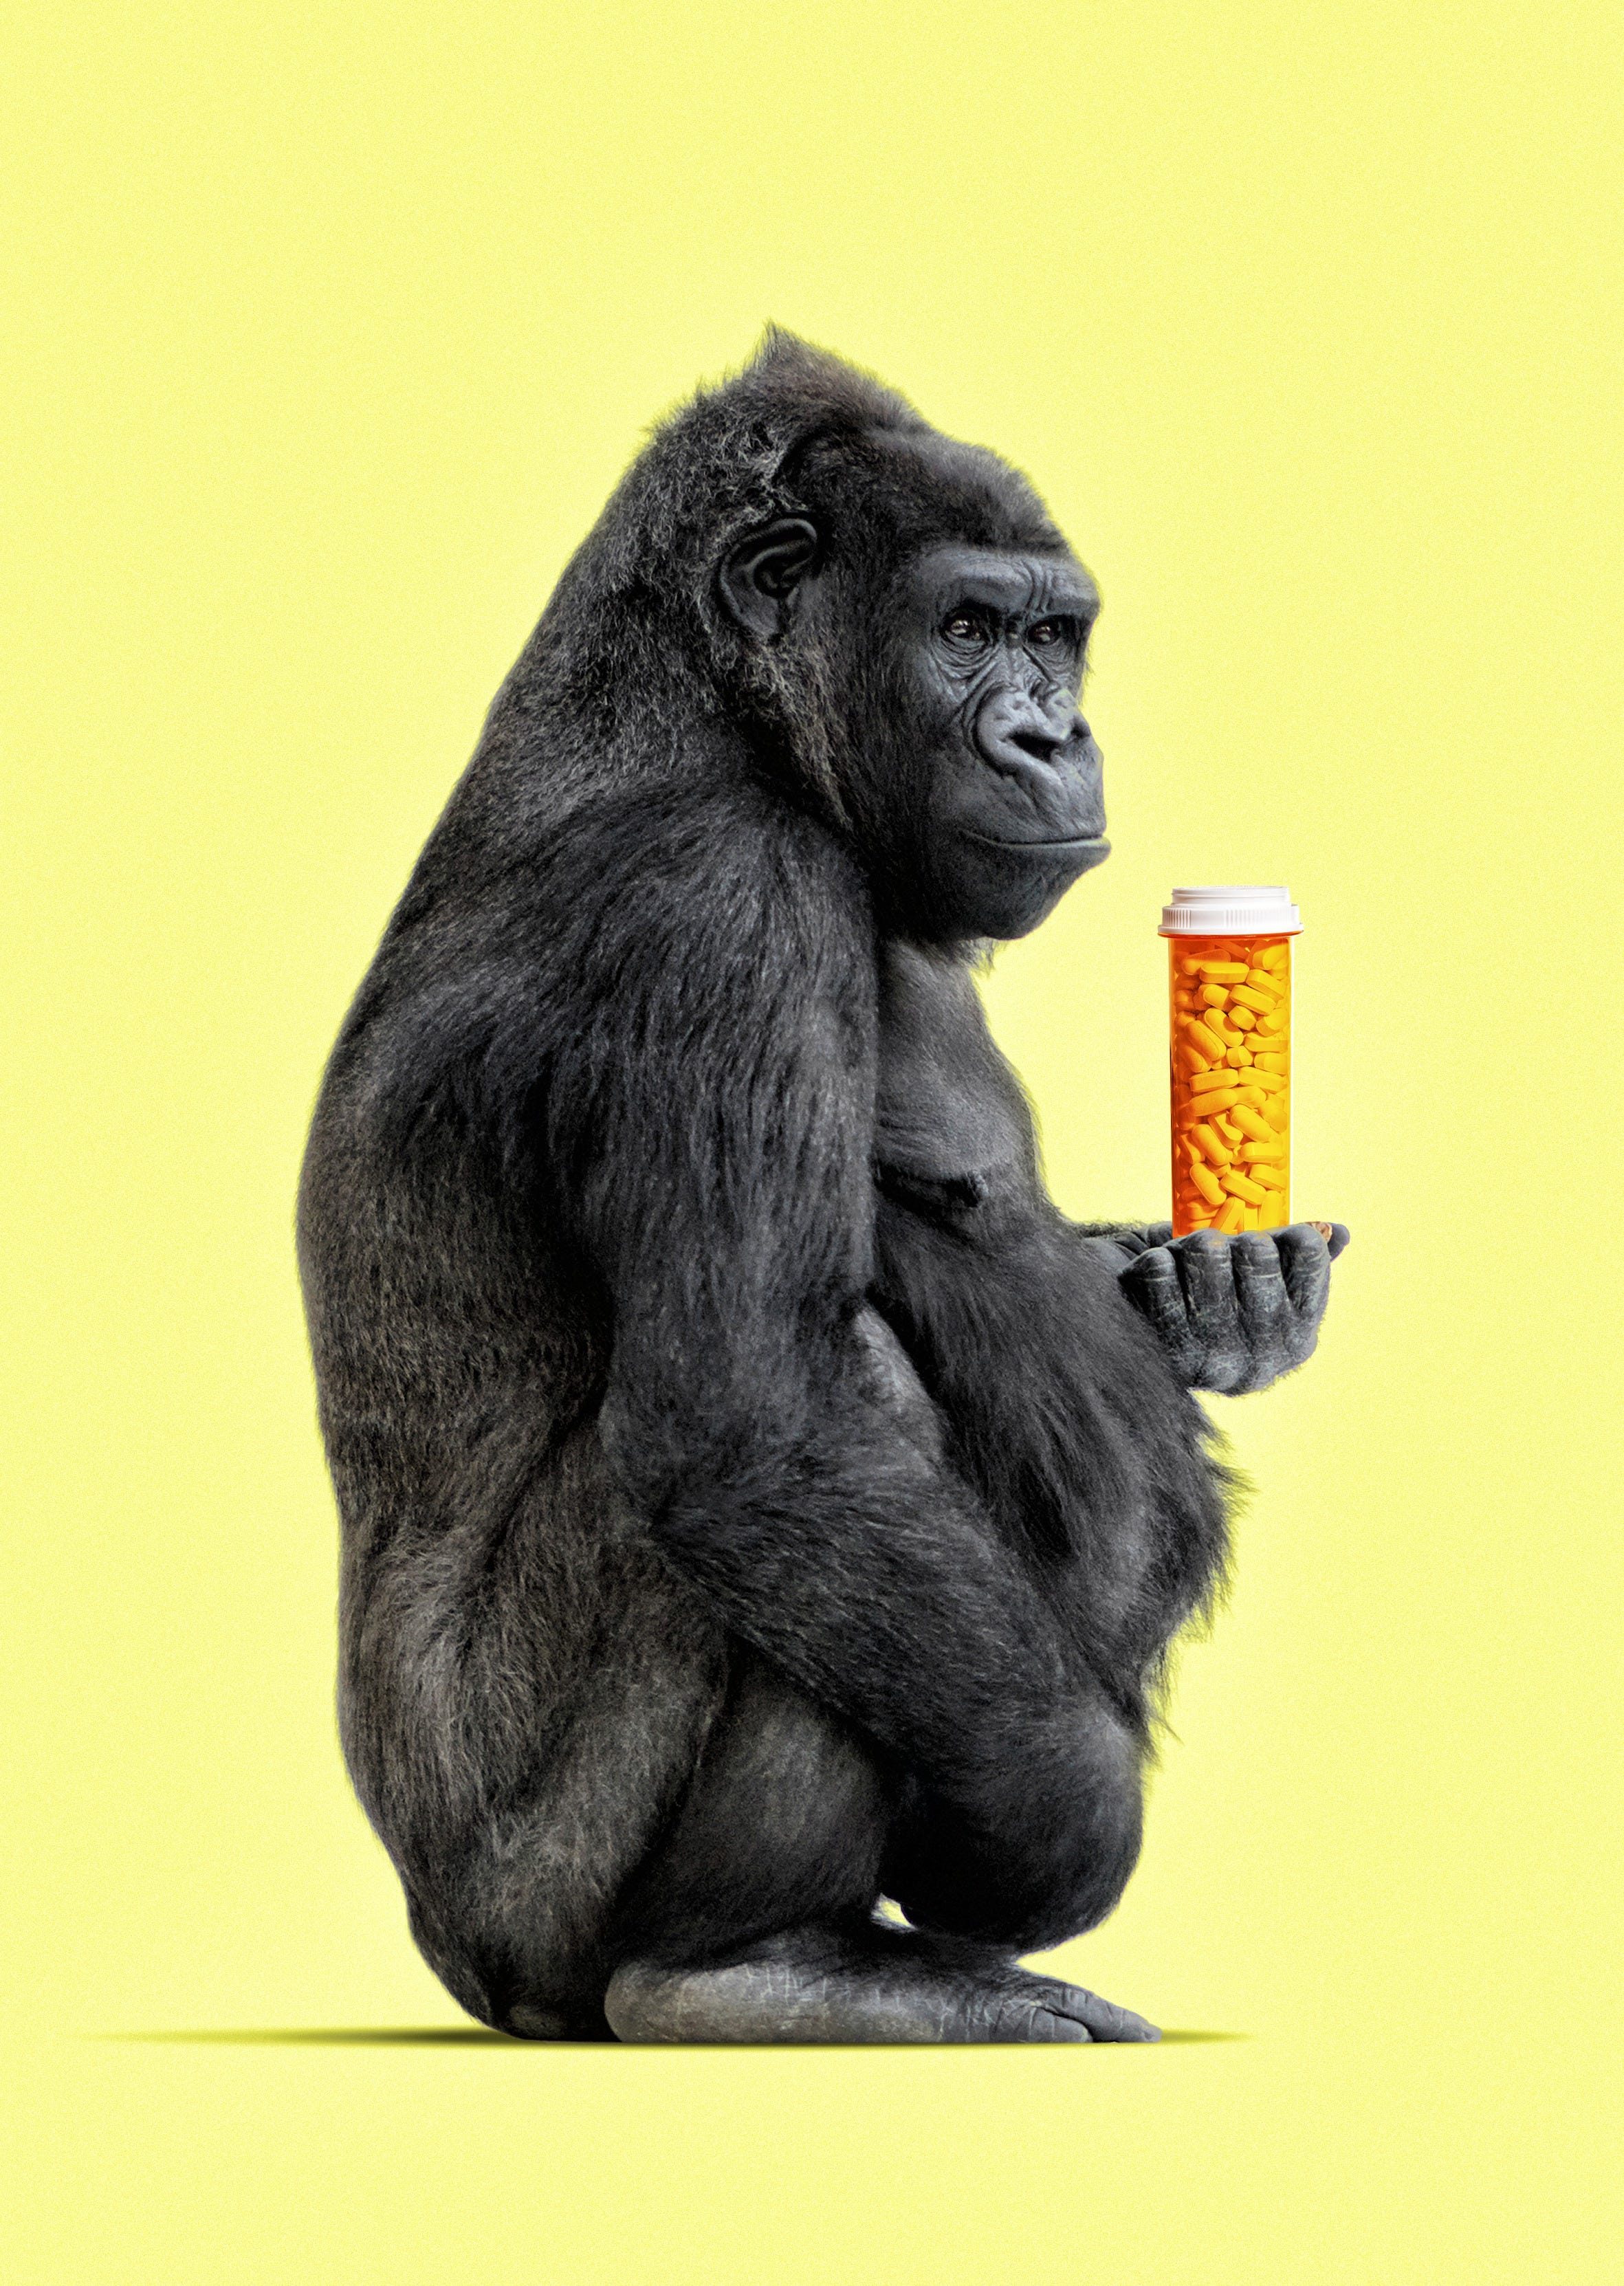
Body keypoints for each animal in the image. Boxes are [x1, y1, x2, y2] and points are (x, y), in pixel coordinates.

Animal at [297, 331, 1347, 2043]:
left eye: (1054, 637)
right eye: (966, 628)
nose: (1051, 737)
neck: (712, 710)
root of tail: (437, 1942)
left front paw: (1215, 1299)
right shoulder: (722, 902)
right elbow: (758, 1431)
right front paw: (1063, 1826)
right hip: (520, 1903)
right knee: (833, 1410)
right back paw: (754, 1966)